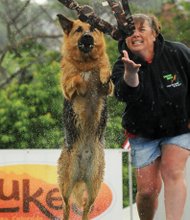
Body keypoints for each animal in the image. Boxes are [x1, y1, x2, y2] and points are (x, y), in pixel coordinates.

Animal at [56, 14, 113, 220]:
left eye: (93, 28)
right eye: (79, 30)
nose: (88, 37)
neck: (87, 62)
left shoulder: (108, 89)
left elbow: (105, 72)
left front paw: (103, 73)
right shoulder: (67, 87)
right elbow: (77, 78)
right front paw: (83, 80)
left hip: (94, 184)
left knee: (86, 207)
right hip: (67, 182)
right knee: (66, 206)